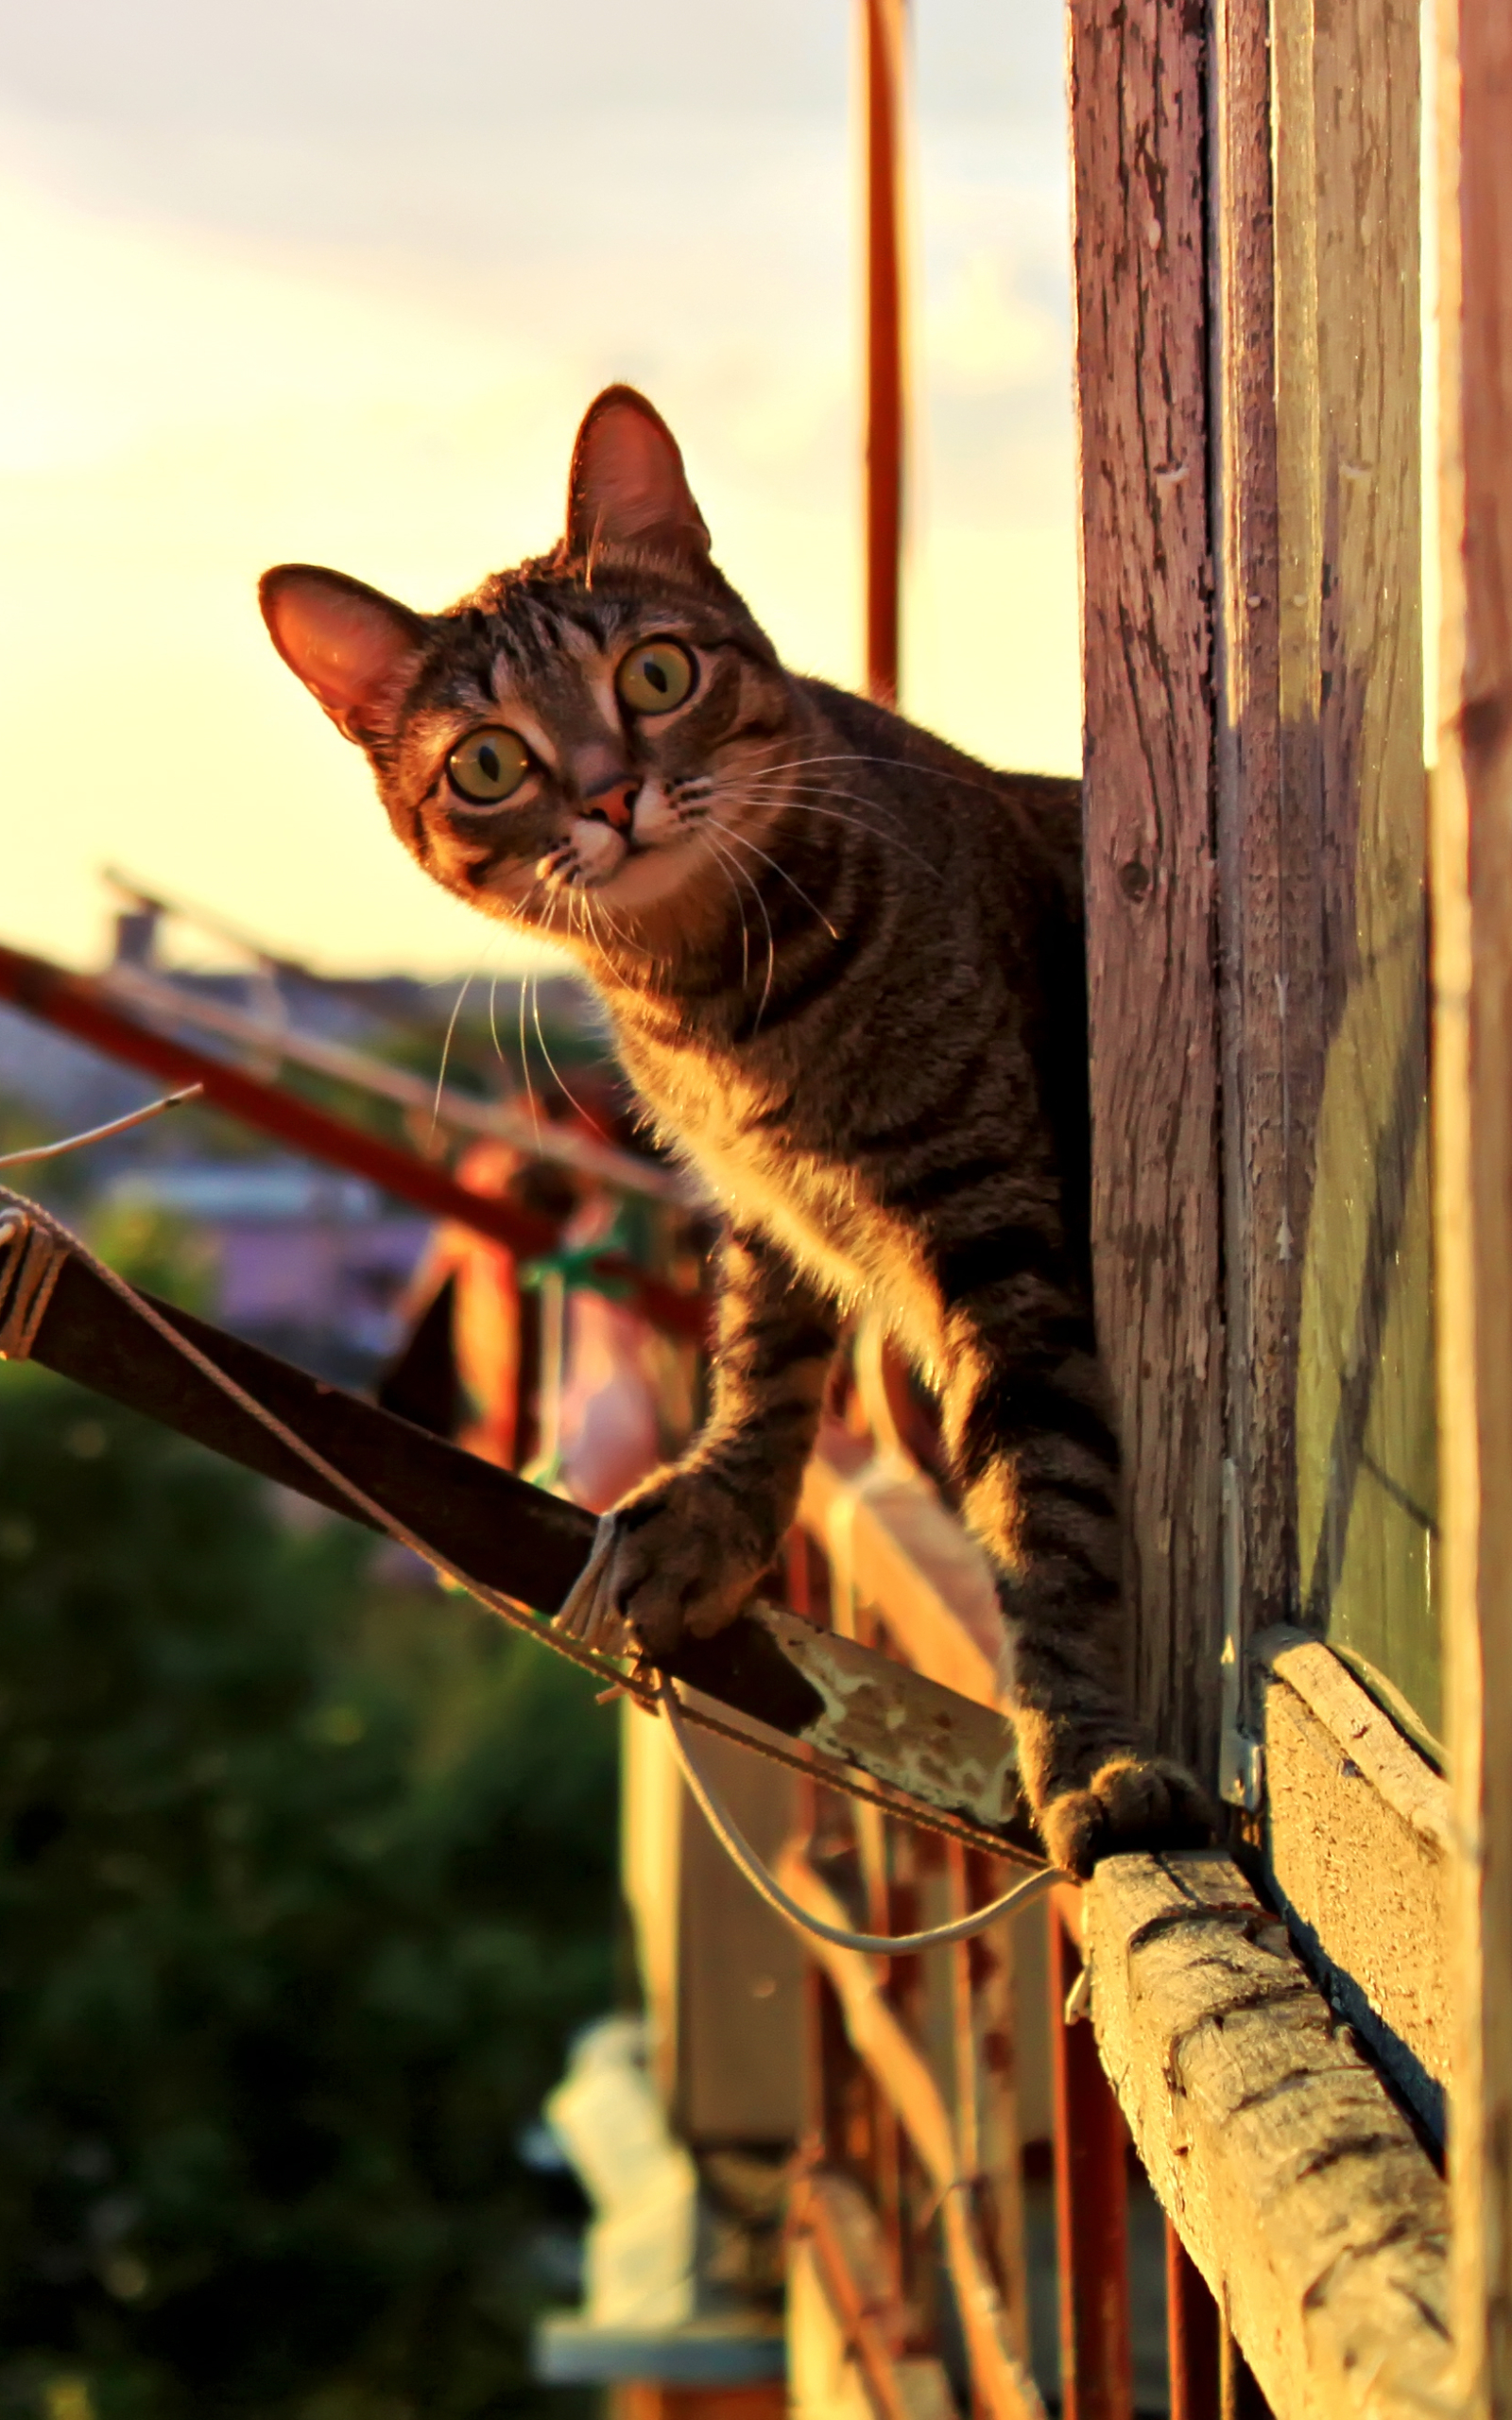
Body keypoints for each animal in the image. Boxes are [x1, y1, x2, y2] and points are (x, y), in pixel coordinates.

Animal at [256, 387, 1204, 1877]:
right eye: (488, 762)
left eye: (654, 676)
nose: (608, 795)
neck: (713, 1000)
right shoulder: (762, 1209)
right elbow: (761, 1368)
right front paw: (716, 1510)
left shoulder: (999, 1227)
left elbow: (1043, 1510)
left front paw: (1086, 1754)